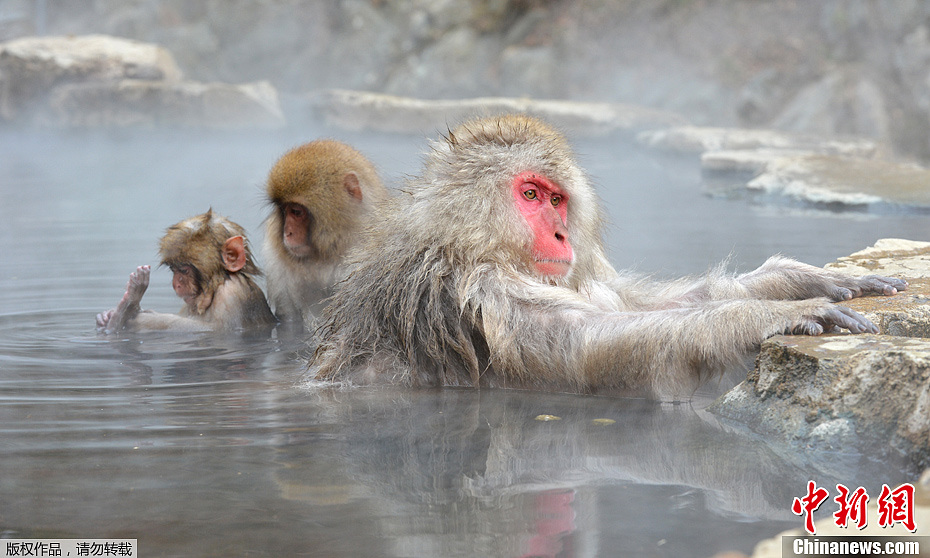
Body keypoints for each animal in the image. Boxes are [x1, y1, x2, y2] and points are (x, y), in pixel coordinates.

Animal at [100, 209, 280, 332]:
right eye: (174, 270)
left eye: (184, 270)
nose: (176, 284)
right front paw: (107, 316)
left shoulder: (232, 293)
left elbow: (216, 329)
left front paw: (135, 314)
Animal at [308, 115, 904, 402]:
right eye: (530, 195)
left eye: (557, 200)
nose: (560, 233)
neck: (460, 242)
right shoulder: (477, 292)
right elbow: (594, 346)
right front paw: (766, 317)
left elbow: (627, 308)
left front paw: (792, 280)